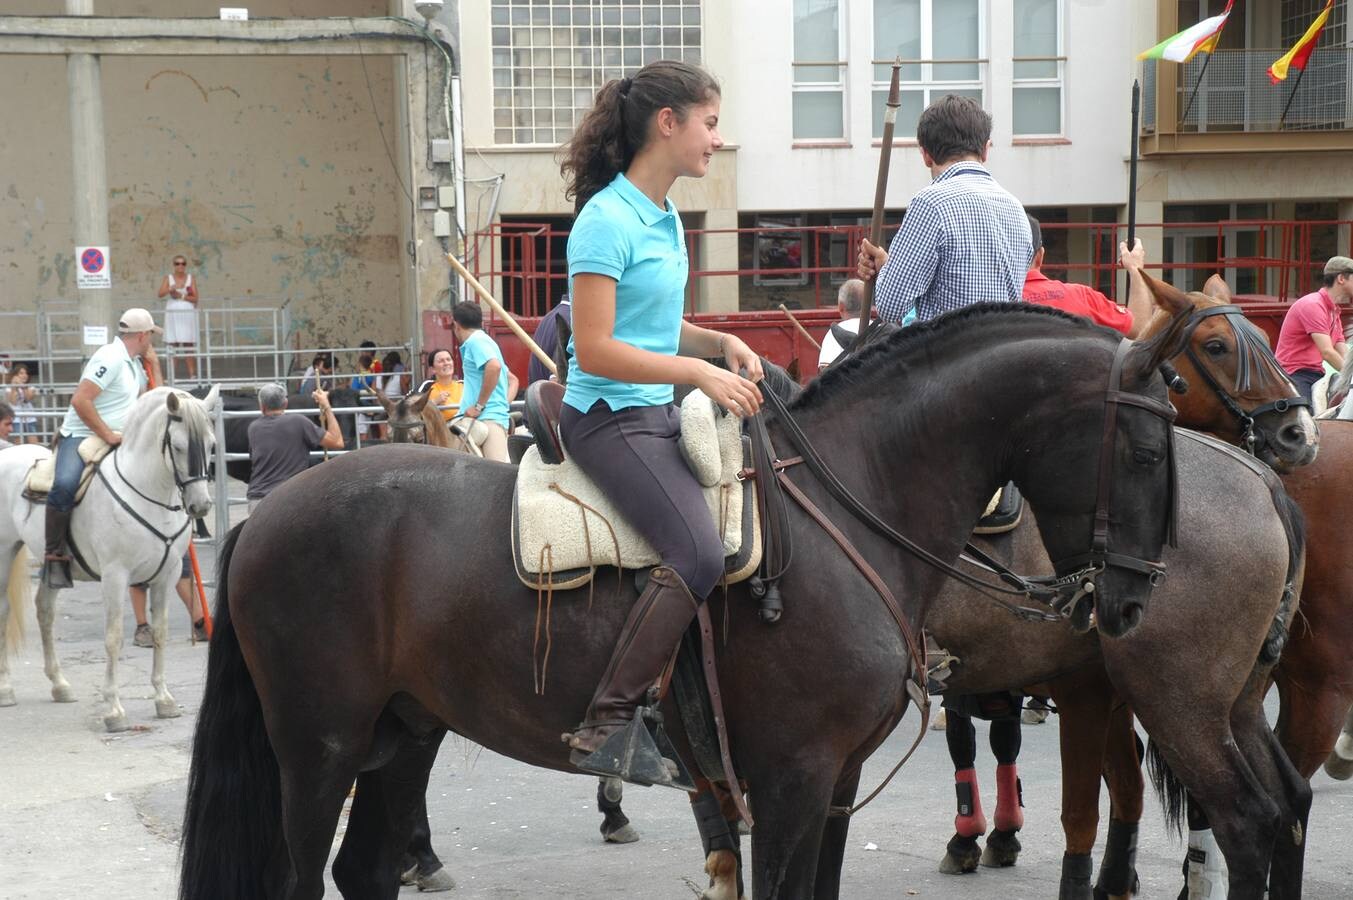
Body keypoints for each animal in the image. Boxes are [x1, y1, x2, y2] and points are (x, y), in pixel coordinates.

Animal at [0, 387, 216, 730]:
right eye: (179, 446)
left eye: (211, 445)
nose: (200, 506)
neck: (148, 492)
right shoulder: (116, 575)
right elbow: (113, 637)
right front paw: (114, 710)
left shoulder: (166, 575)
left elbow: (161, 632)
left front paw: (164, 699)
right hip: (5, 551)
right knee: (5, 611)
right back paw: (7, 689)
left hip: (52, 565)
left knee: (45, 610)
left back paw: (59, 684)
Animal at [177, 305, 1185, 893]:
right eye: (1144, 453)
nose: (1133, 607)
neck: (848, 505)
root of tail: (263, 520)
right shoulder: (788, 781)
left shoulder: (831, 785)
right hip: (321, 747)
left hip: (404, 733)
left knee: (366, 869)